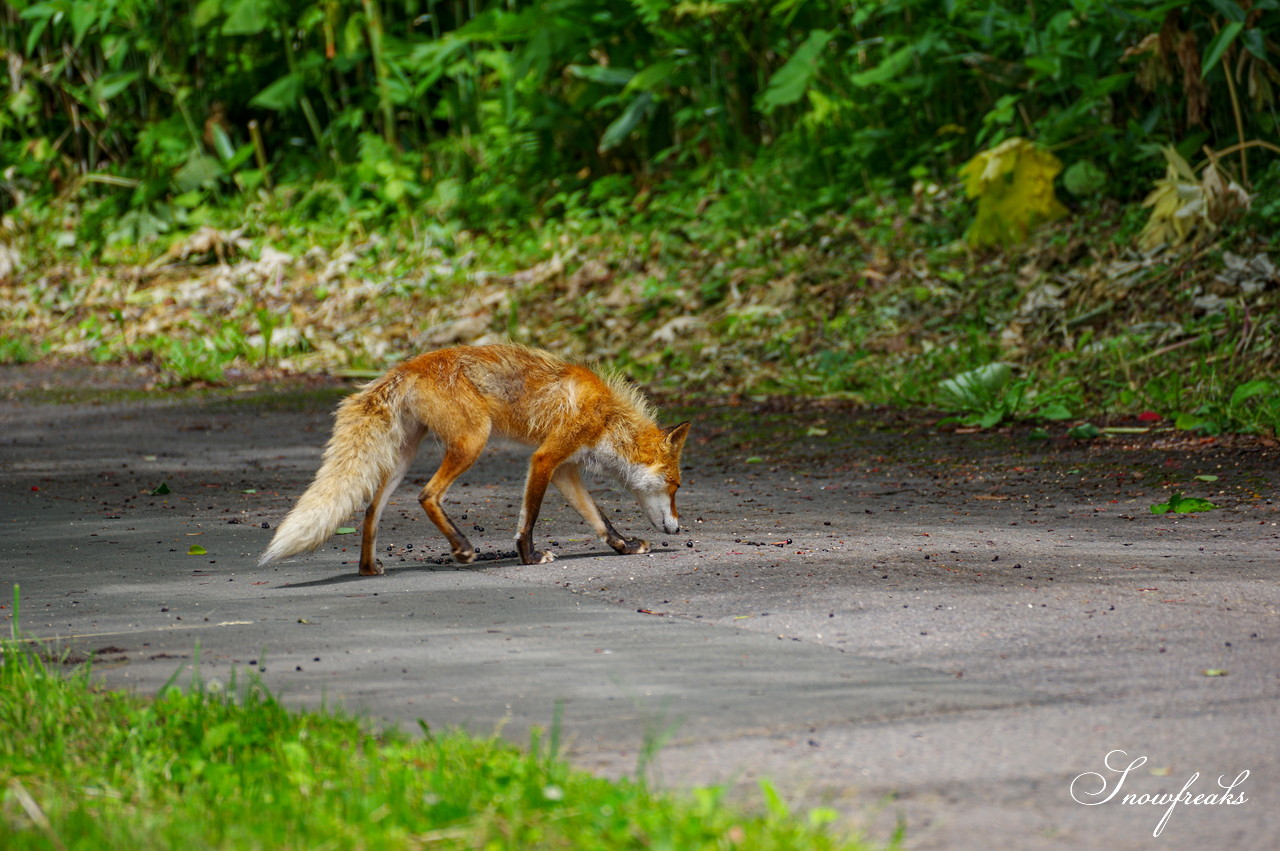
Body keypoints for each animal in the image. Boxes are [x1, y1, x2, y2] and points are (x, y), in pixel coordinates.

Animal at [257, 342, 691, 570]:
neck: (606, 419)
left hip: (403, 458)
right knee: (426, 495)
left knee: (370, 511)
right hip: (472, 442)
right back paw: (463, 548)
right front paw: (529, 556)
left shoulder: (564, 469)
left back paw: (368, 568)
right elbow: (529, 518)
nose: (678, 528)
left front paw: (624, 546)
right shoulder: (544, 458)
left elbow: (599, 519)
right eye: (675, 487)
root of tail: (409, 365)